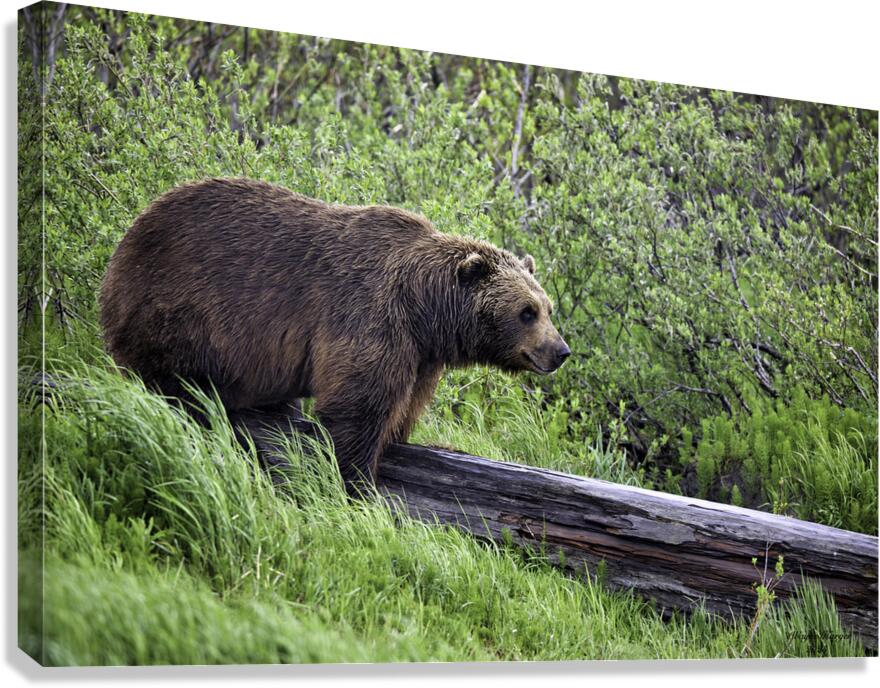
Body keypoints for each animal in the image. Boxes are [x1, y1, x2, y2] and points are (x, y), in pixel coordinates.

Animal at [99, 178, 570, 494]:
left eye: (548, 308)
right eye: (526, 312)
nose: (560, 351)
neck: (426, 309)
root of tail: (125, 244)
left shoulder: (420, 354)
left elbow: (403, 406)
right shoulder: (370, 317)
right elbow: (355, 407)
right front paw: (356, 482)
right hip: (181, 308)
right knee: (174, 379)